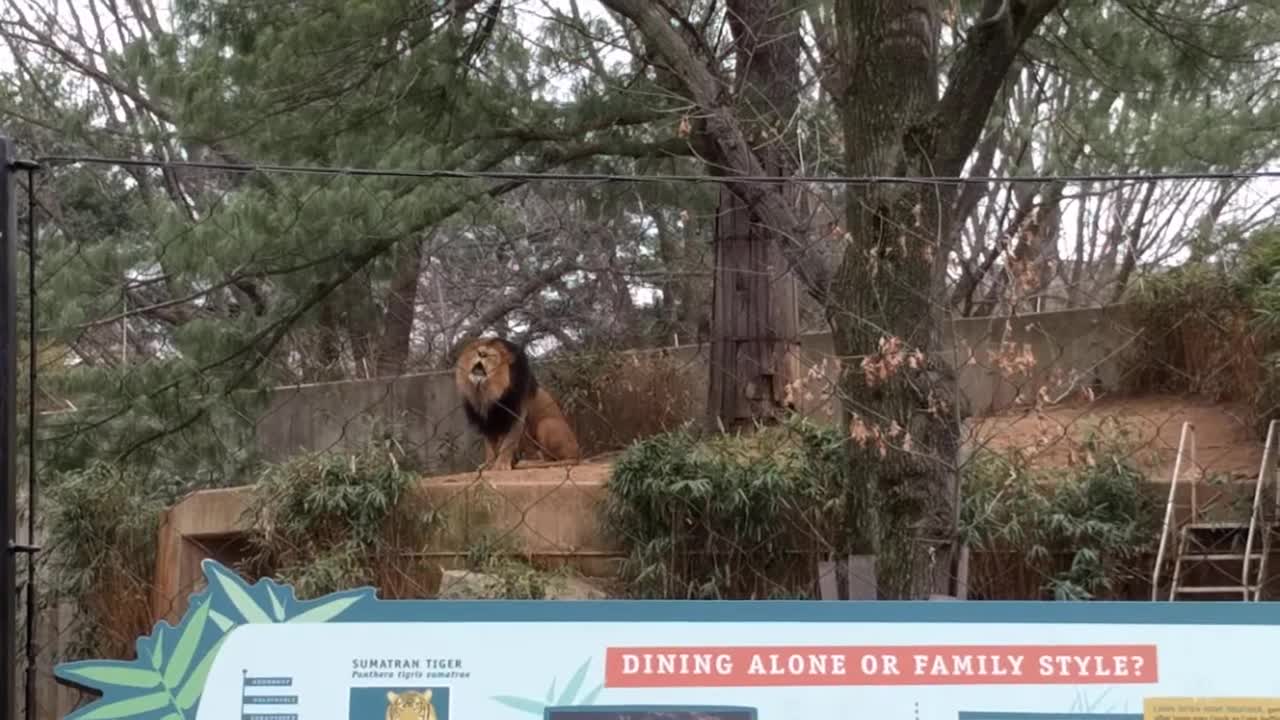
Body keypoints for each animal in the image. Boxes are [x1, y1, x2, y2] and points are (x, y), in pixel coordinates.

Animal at [453, 333, 583, 468]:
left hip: (546, 424)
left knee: (555, 459)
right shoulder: (487, 421)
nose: (482, 354)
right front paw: (488, 464)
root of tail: (578, 452)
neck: (485, 393)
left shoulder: (517, 415)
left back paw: (526, 462)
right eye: (477, 351)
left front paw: (501, 465)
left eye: (492, 356)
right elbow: (489, 445)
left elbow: (509, 443)